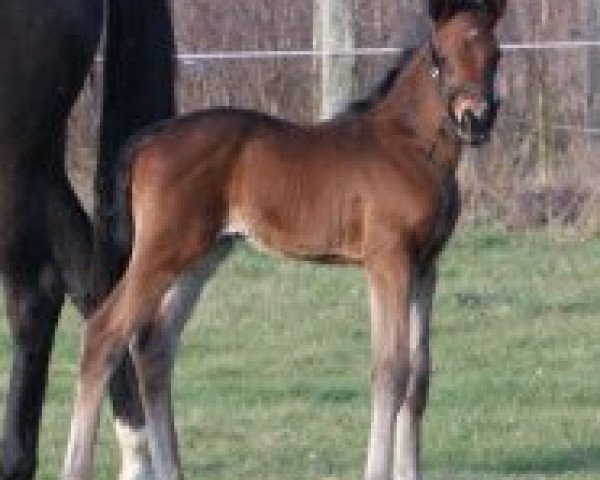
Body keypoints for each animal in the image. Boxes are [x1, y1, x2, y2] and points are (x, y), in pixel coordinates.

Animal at [64, 0, 506, 480]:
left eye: (496, 54)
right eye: (440, 55)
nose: (476, 119)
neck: (409, 145)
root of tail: (151, 138)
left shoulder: (426, 266)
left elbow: (420, 376)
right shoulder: (388, 261)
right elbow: (391, 370)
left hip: (203, 255)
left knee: (153, 346)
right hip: (162, 251)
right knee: (104, 333)